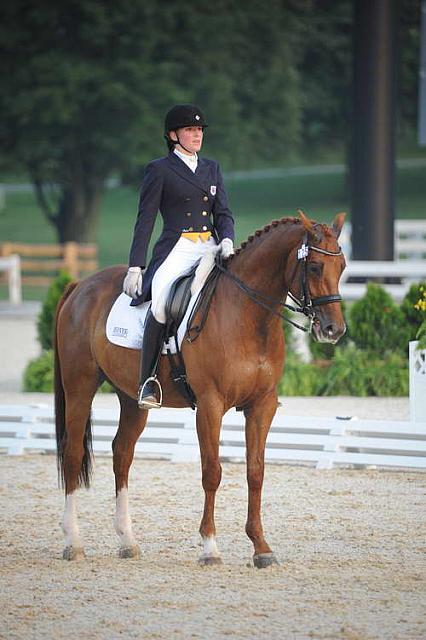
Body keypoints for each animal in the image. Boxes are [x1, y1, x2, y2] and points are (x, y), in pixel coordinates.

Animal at [55, 212, 346, 568]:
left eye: (342, 266)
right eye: (315, 267)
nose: (333, 330)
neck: (247, 315)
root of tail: (81, 285)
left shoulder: (261, 405)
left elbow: (256, 472)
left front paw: (261, 548)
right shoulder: (210, 405)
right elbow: (212, 471)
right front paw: (210, 547)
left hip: (132, 399)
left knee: (122, 453)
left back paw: (127, 541)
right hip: (79, 386)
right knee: (73, 453)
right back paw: (73, 542)